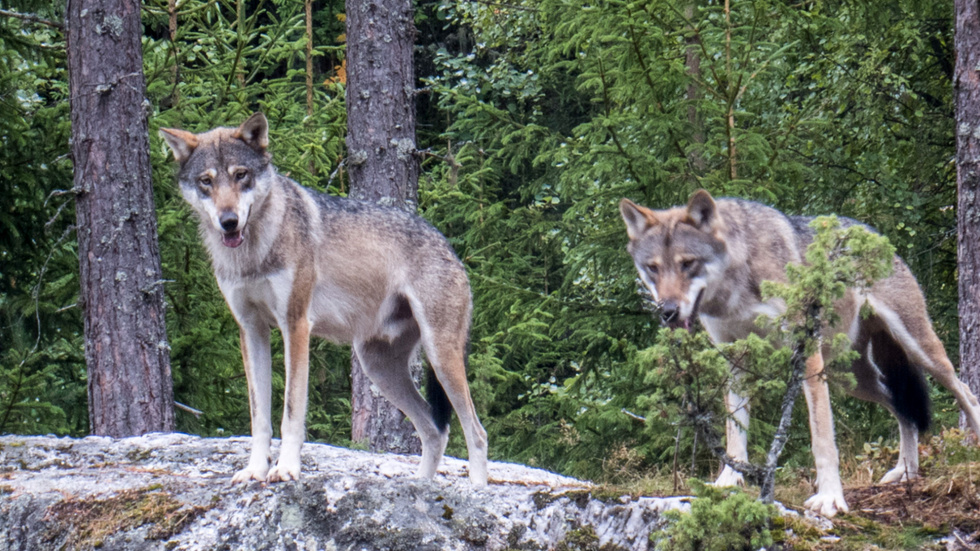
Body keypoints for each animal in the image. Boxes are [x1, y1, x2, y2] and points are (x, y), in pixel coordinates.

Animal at [160, 113, 490, 488]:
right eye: (206, 181)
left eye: (240, 175)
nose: (229, 221)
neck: (254, 254)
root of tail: (451, 248)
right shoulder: (251, 330)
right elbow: (259, 418)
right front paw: (255, 470)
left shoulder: (296, 325)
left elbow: (291, 412)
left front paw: (286, 469)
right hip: (378, 368)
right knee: (435, 430)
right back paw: (420, 486)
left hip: (439, 357)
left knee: (476, 432)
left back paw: (476, 491)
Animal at [620, 190, 980, 516]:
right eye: (653, 268)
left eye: (687, 263)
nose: (667, 312)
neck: (736, 287)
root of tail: (873, 232)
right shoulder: (735, 362)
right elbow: (735, 431)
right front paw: (728, 482)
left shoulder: (804, 353)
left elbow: (821, 437)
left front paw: (830, 498)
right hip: (850, 378)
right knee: (903, 411)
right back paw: (906, 472)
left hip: (918, 352)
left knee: (964, 393)